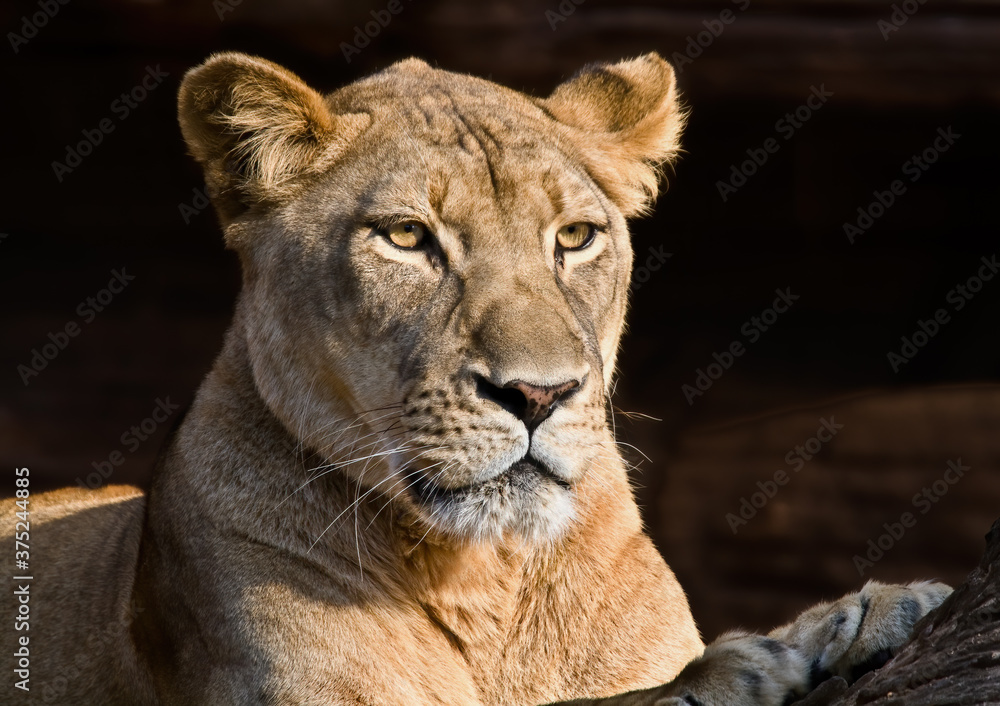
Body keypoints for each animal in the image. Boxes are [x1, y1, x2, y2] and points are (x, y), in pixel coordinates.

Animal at [4, 52, 951, 705]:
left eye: (574, 238)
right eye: (407, 238)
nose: (539, 395)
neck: (482, 576)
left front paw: (858, 615)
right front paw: (737, 665)